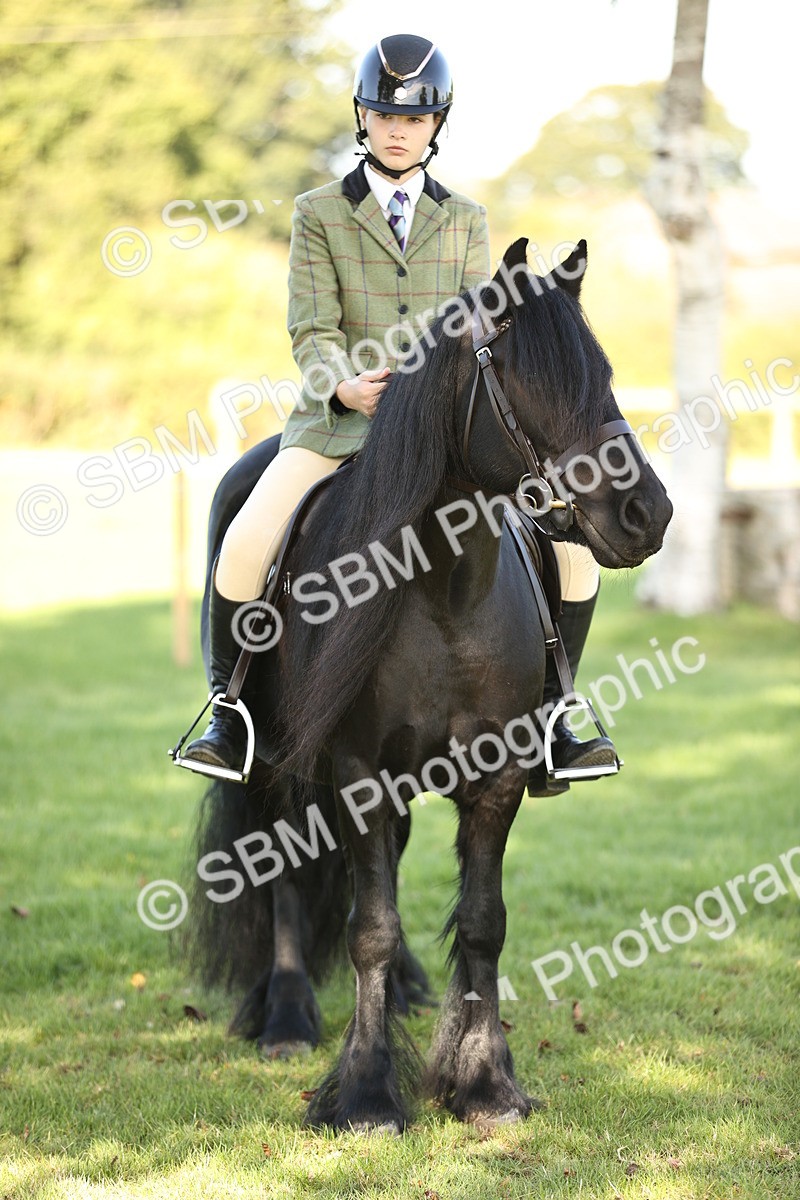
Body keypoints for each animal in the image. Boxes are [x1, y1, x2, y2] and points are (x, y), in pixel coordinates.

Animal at [184, 238, 673, 1133]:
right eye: (523, 378)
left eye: (605, 375)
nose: (645, 514)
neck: (445, 591)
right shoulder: (356, 774)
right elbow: (369, 927)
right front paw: (368, 1094)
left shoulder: (495, 777)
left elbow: (482, 924)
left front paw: (484, 1085)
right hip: (277, 766)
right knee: (284, 872)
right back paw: (287, 1018)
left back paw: (404, 992)